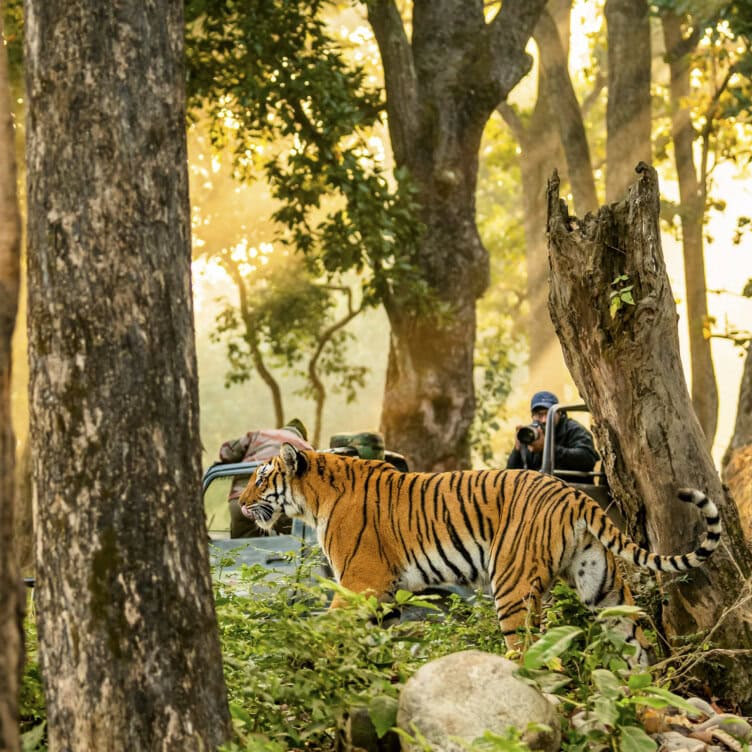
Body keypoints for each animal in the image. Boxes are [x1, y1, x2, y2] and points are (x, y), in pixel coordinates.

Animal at [238, 443, 721, 662]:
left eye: (260, 478)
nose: (240, 503)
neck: (314, 497)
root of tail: (571, 493)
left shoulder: (361, 583)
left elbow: (328, 627)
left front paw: (303, 657)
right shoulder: (387, 593)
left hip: (510, 585)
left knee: (530, 654)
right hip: (602, 587)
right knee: (635, 648)